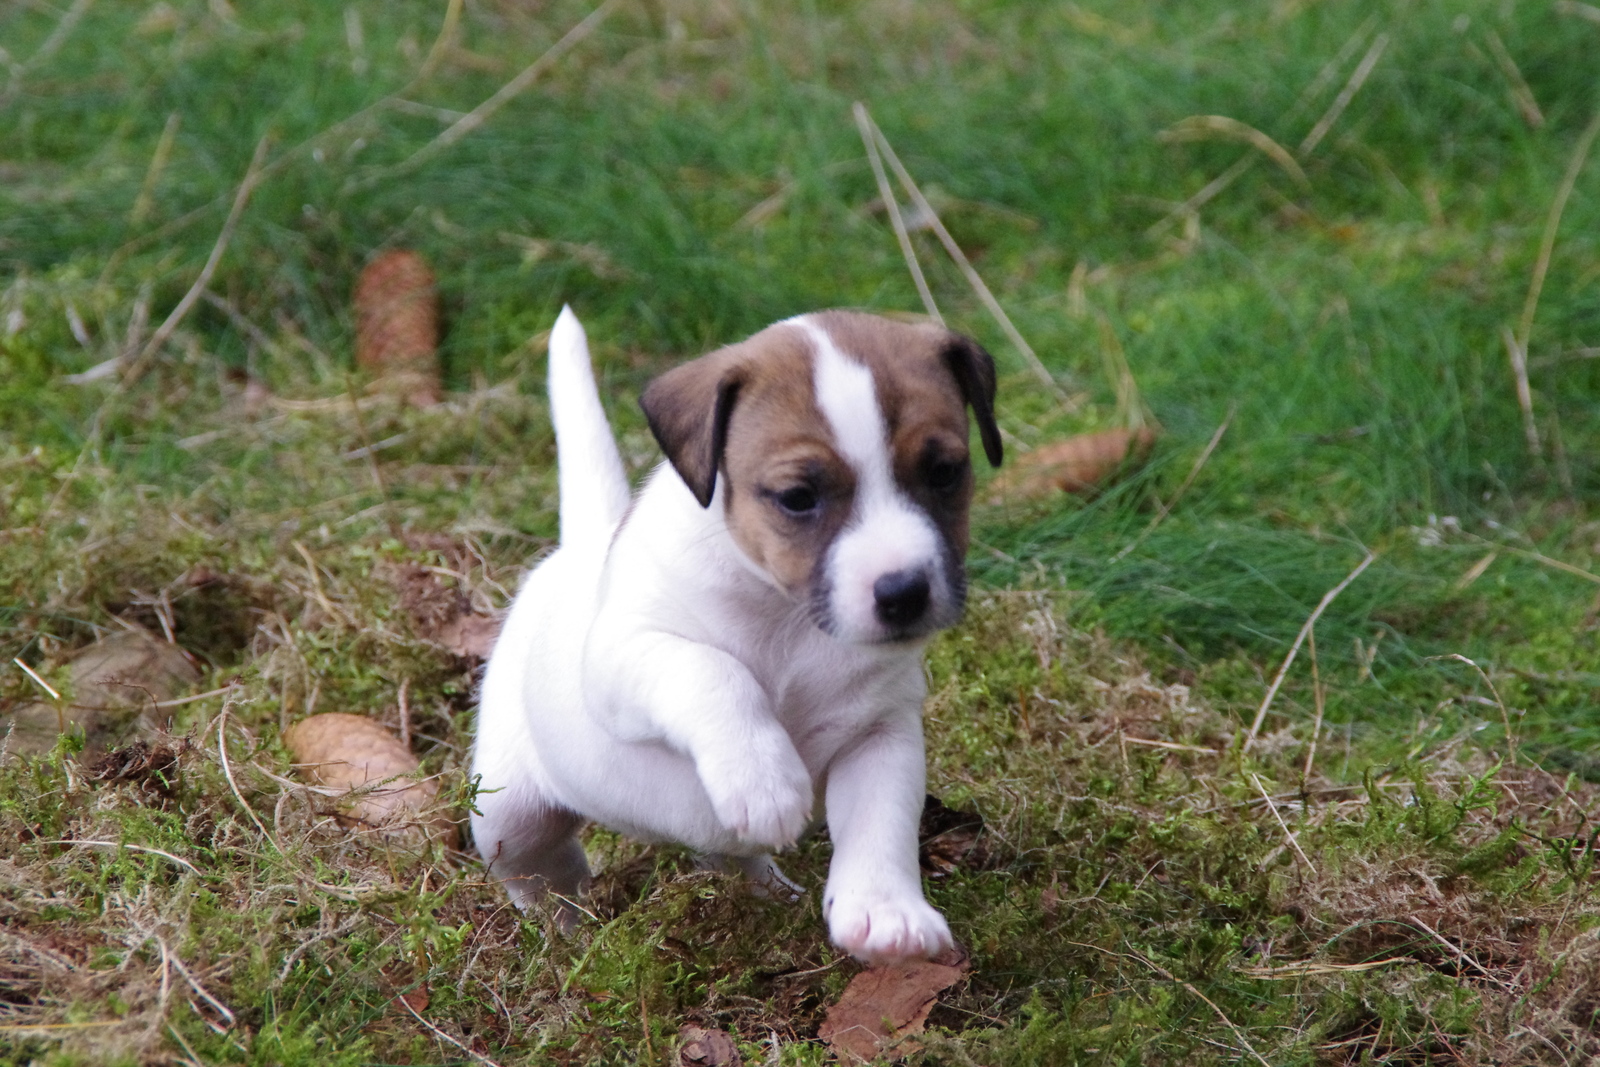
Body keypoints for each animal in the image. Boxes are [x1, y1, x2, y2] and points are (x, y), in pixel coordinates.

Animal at [470, 303, 998, 966]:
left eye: (945, 472)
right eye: (798, 497)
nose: (904, 592)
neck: (788, 618)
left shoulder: (879, 734)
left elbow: (882, 822)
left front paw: (885, 911)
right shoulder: (623, 657)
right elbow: (715, 670)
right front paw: (763, 777)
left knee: (730, 855)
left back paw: (768, 893)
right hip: (506, 817)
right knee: (541, 877)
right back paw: (571, 939)